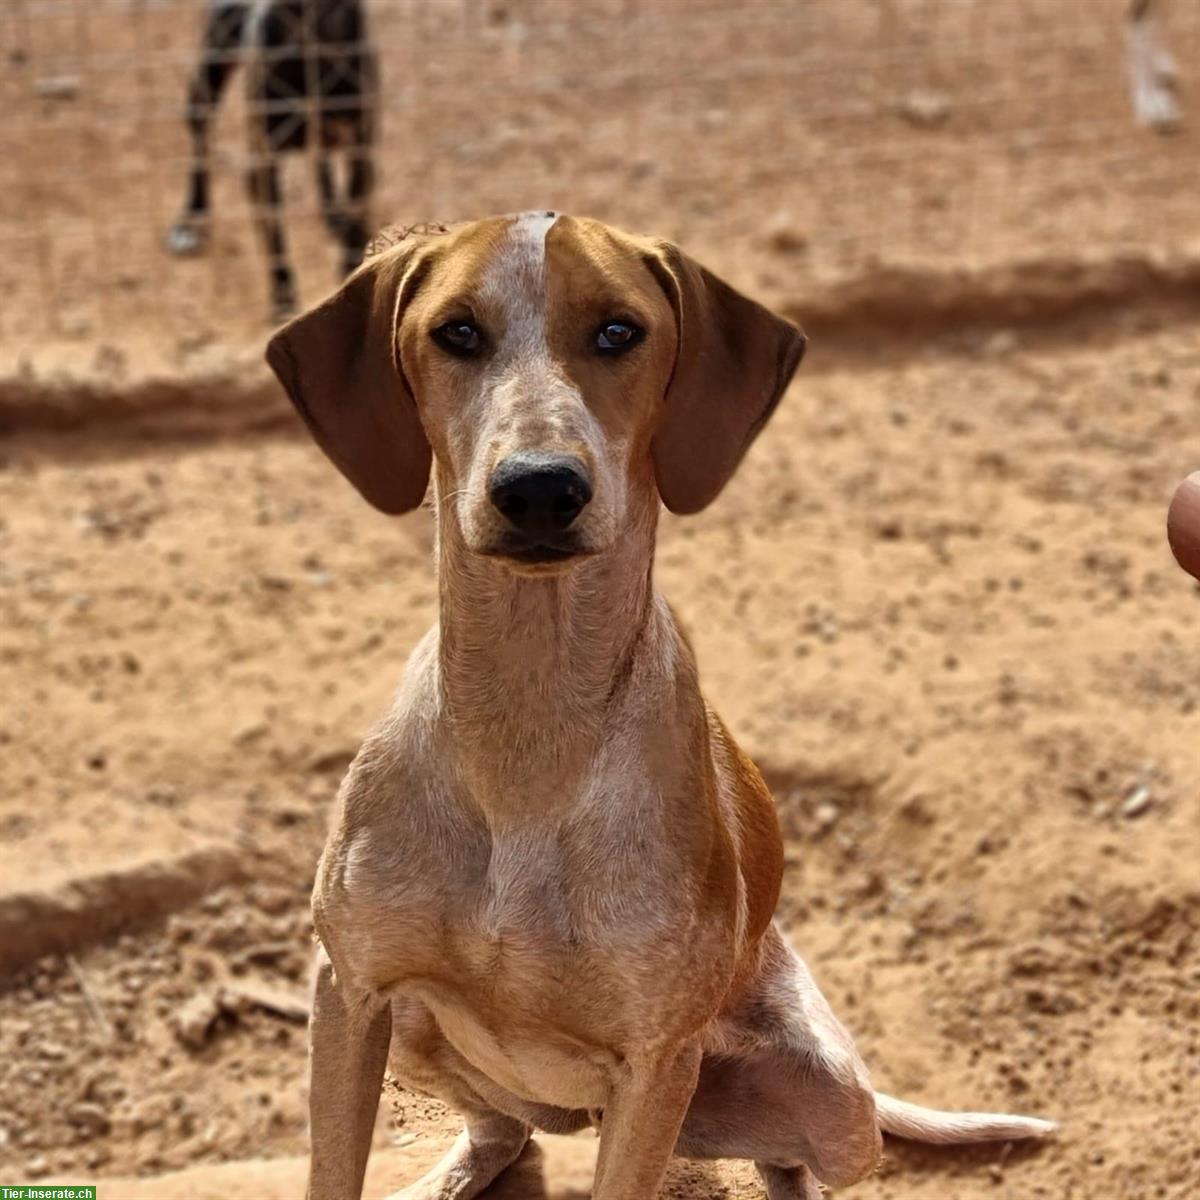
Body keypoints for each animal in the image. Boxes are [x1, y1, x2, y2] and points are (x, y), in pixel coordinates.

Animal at [165, 1, 374, 319]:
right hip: (208, 76)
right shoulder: (264, 161)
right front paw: (283, 297)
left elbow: (355, 222)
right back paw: (191, 219)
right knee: (200, 139)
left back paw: (332, 213)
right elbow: (275, 236)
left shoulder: (362, 149)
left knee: (320, 158)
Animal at [267, 211, 1056, 1195]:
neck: (530, 724)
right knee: (503, 1130)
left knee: (787, 1159)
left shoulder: (654, 1065)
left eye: (619, 331)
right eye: (456, 332)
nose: (539, 487)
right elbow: (332, 1167)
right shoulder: (349, 993)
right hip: (415, 1030)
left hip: (828, 1103)